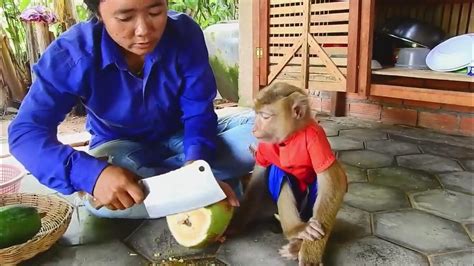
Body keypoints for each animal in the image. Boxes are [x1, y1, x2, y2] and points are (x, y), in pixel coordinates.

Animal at [230, 82, 348, 264]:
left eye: (265, 116)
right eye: (257, 114)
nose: (254, 129)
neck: (290, 138)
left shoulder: (317, 138)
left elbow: (334, 183)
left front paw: (310, 253)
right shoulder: (264, 145)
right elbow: (259, 178)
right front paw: (236, 224)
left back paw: (297, 239)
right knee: (280, 174)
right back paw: (296, 230)